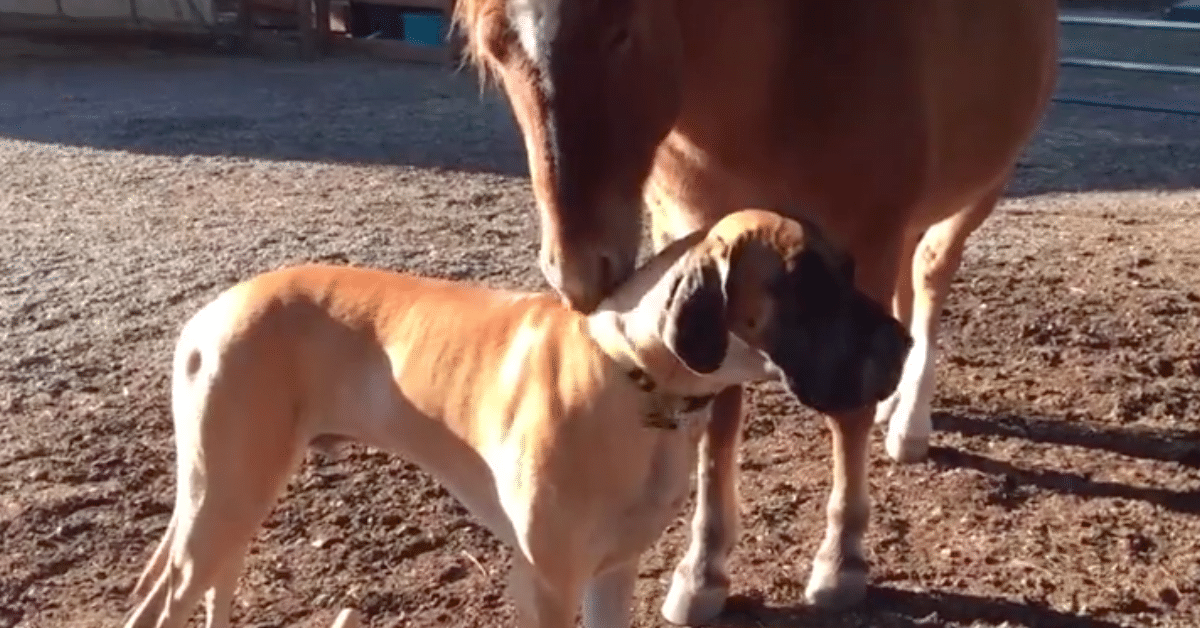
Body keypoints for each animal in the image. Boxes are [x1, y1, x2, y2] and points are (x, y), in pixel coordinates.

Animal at [124, 210, 907, 628]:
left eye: (851, 269)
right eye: (808, 286)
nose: (904, 345)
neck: (633, 375)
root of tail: (209, 313)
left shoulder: (612, 572)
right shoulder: (549, 583)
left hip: (228, 504)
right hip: (222, 504)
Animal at [451, 1, 1060, 624]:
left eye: (619, 30)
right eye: (495, 51)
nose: (577, 272)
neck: (778, 71)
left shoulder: (867, 243)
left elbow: (849, 413)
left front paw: (842, 562)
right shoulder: (698, 242)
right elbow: (716, 414)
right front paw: (703, 572)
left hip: (979, 191)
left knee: (931, 274)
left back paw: (910, 420)